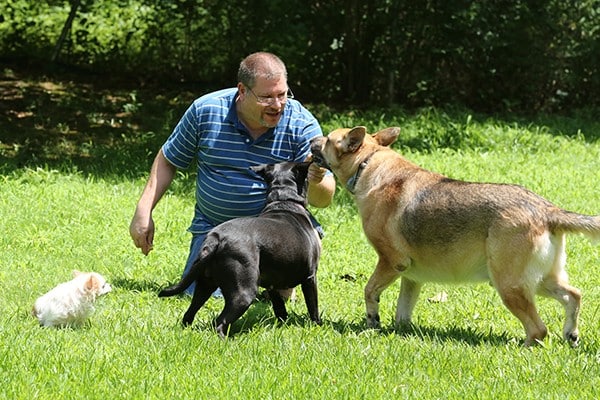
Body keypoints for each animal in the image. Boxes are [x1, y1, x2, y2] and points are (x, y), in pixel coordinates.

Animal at [157, 161, 322, 336]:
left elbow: (279, 307)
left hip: (205, 284)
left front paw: (283, 322)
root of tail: (216, 239)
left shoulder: (272, 284)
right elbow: (313, 306)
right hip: (244, 292)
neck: (284, 201)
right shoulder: (310, 277)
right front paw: (317, 325)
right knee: (219, 323)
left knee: (189, 314)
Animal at [310, 126, 600, 346]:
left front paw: (373, 321)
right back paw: (571, 335)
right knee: (573, 295)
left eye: (327, 139)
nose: (311, 141)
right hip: (538, 281)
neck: (368, 164)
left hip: (509, 286)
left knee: (539, 329)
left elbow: (369, 291)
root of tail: (547, 210)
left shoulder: (391, 262)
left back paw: (522, 347)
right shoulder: (411, 277)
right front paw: (399, 331)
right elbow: (402, 313)